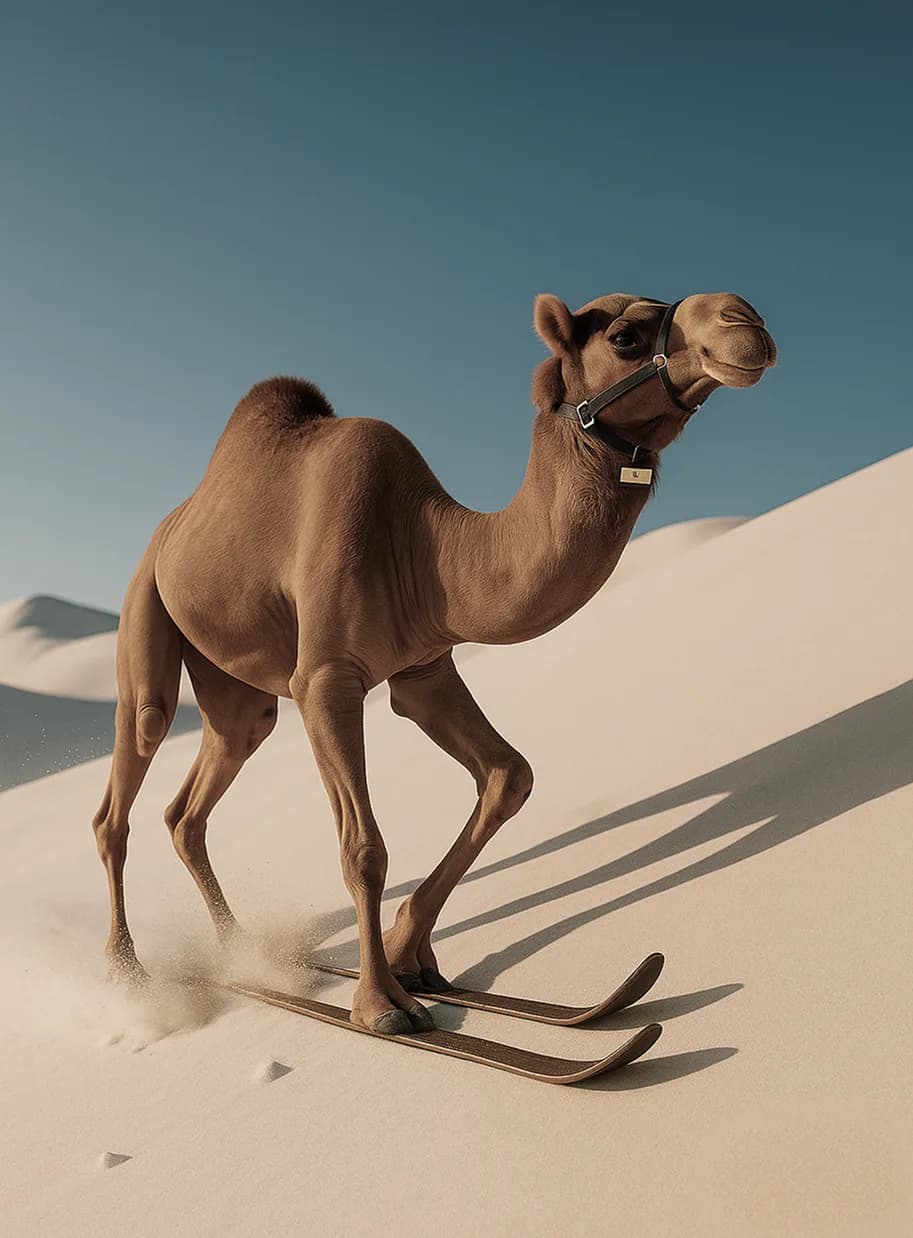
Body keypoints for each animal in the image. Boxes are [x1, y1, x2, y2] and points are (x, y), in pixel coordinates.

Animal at [92, 290, 776, 1034]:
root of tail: (170, 525)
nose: (744, 321)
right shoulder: (327, 679)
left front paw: (408, 955)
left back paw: (247, 957)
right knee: (134, 759)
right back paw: (128, 972)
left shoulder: (422, 668)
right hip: (144, 604)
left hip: (233, 680)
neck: (425, 547)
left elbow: (510, 776)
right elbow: (364, 847)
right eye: (624, 336)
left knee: (200, 793)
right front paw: (380, 1003)